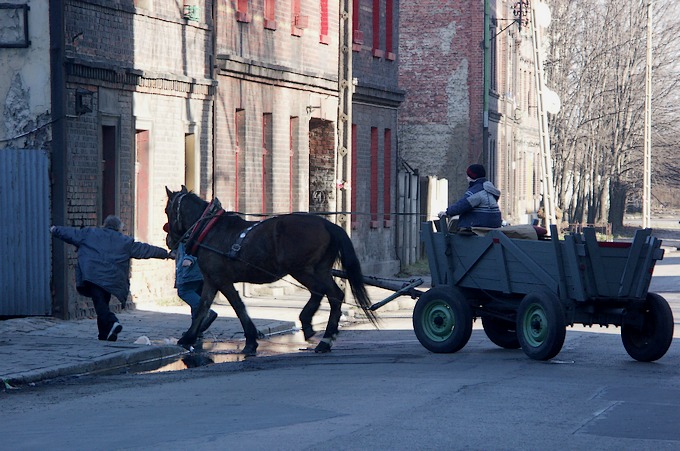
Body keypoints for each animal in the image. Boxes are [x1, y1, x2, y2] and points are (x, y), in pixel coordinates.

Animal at [163, 185, 380, 354]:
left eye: (167, 210)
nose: (169, 239)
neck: (209, 230)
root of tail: (328, 225)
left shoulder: (222, 280)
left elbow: (238, 307)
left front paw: (250, 340)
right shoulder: (211, 280)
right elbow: (203, 307)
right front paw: (189, 337)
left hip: (303, 269)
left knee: (327, 292)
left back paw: (319, 335)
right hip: (318, 269)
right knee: (328, 293)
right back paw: (316, 330)